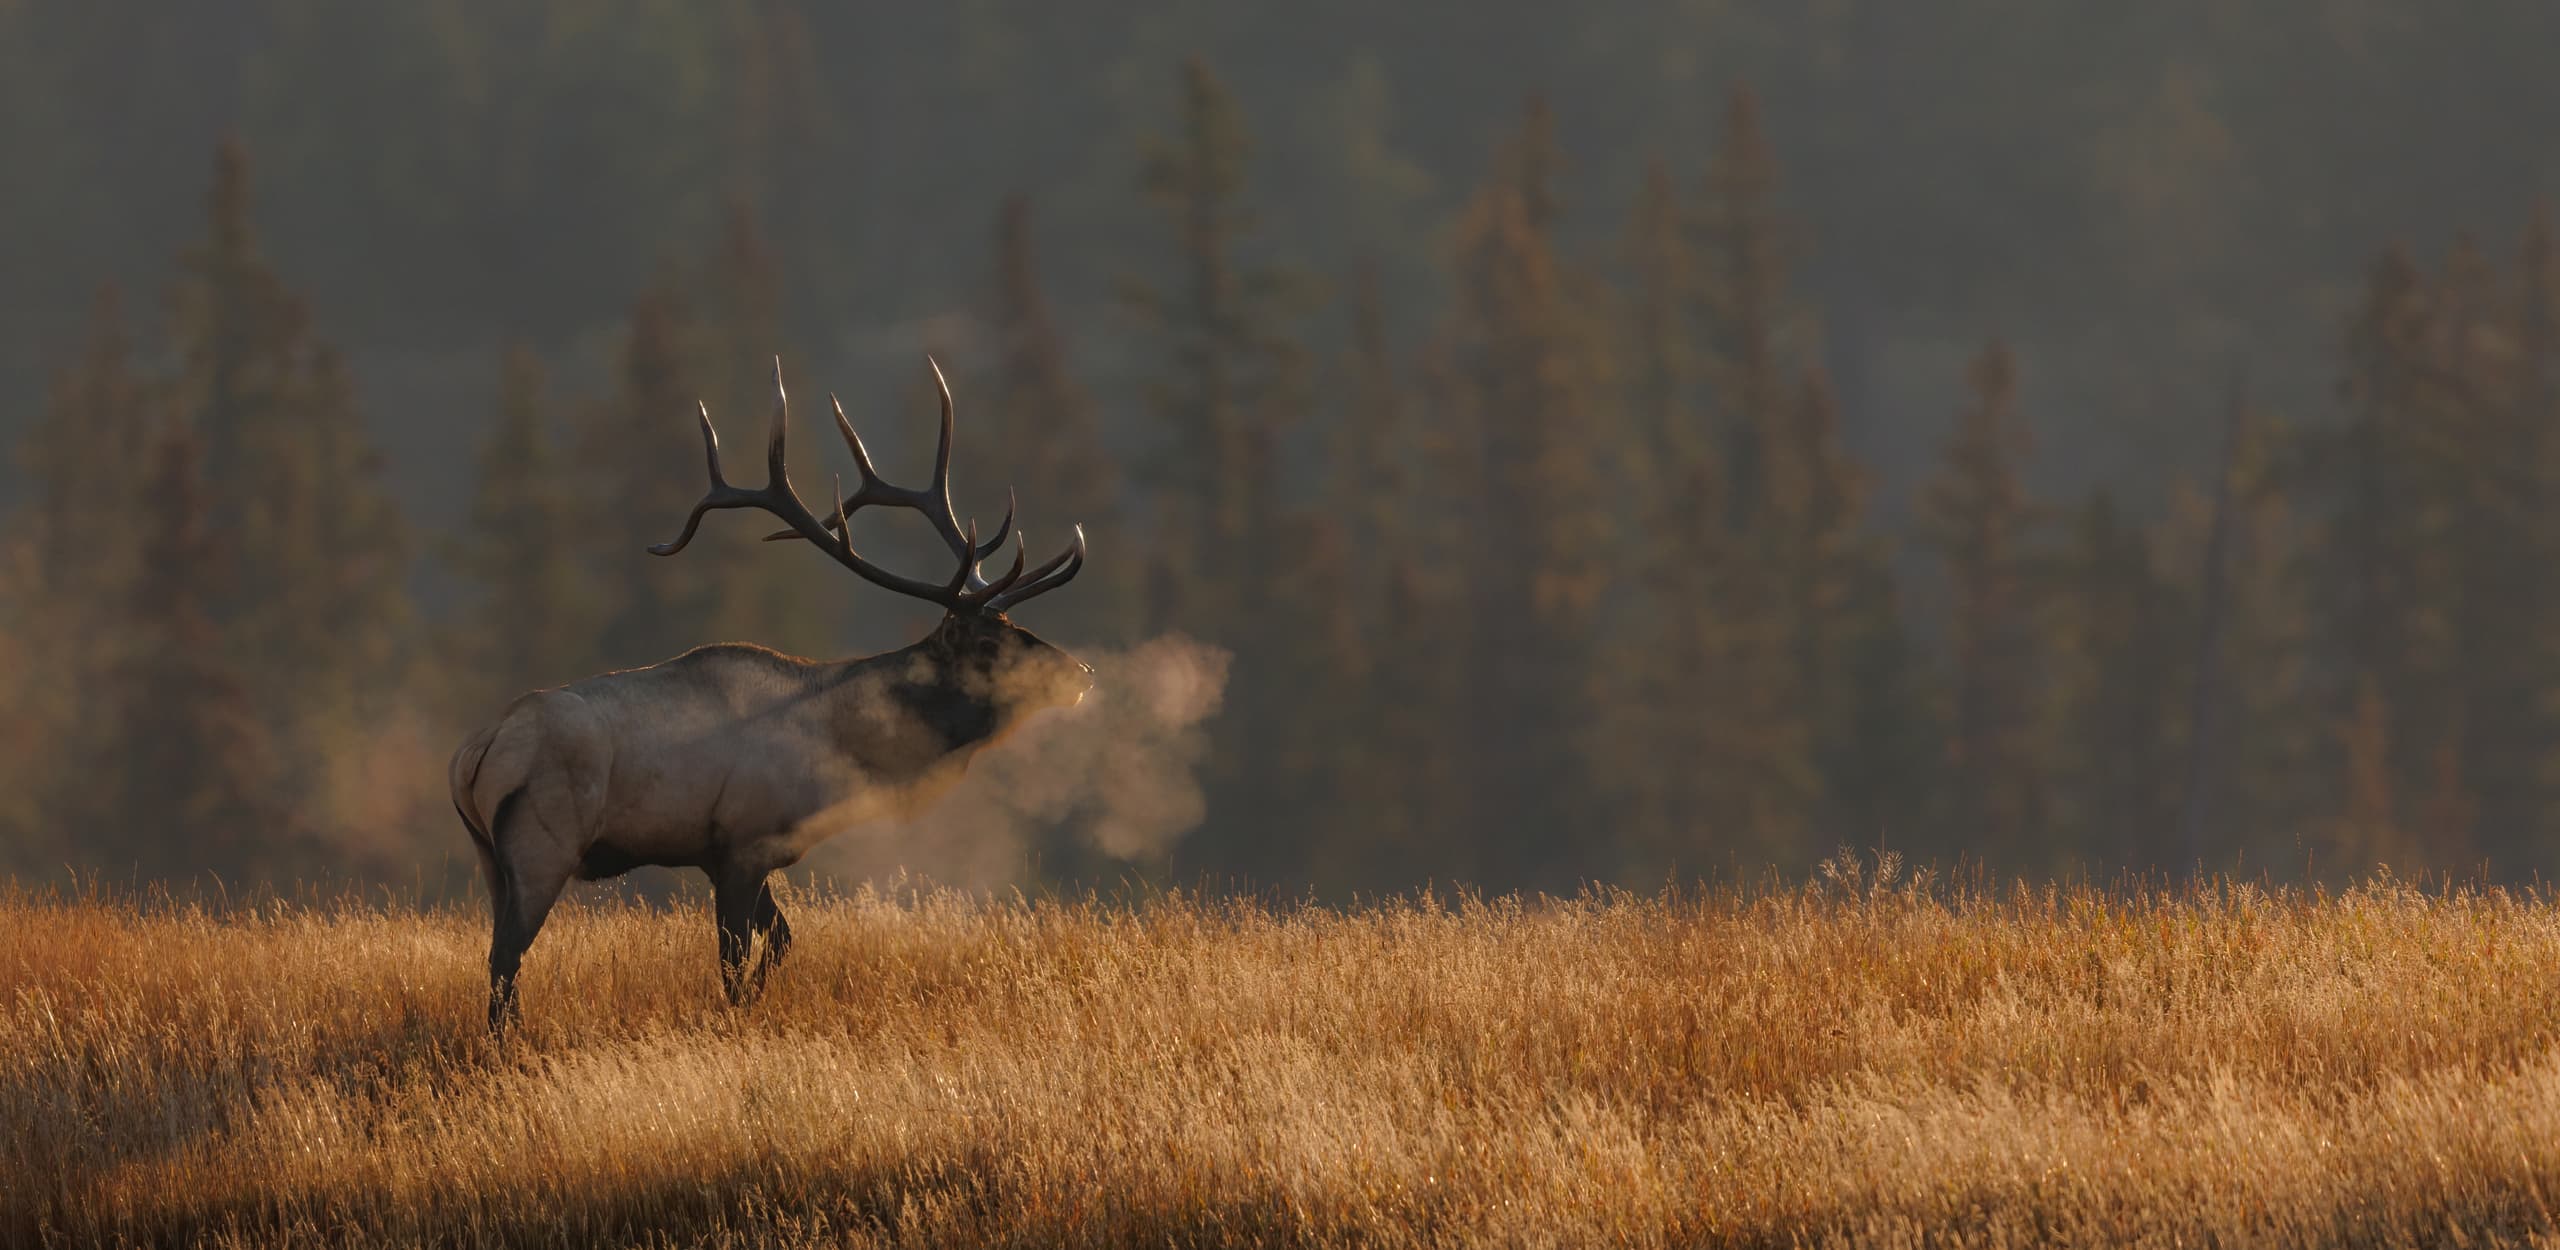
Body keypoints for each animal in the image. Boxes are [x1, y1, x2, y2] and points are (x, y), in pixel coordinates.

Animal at [448, 357, 1093, 1032]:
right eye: (988, 644)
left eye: (1015, 625)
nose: (1079, 675)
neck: (840, 751)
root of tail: (475, 752)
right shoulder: (742, 843)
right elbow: (734, 963)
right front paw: (736, 1014)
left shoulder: (730, 855)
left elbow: (782, 939)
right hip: (542, 843)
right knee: (505, 957)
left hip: (489, 857)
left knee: (499, 953)